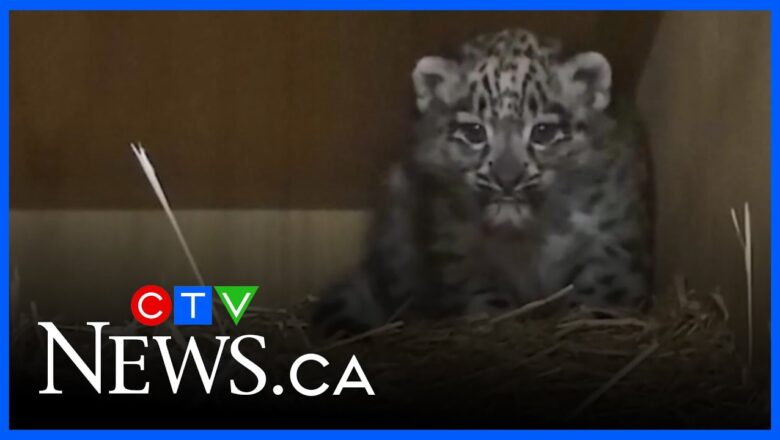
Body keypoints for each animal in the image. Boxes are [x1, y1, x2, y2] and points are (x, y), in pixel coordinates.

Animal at [311, 28, 652, 338]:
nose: (507, 178)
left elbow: (603, 287)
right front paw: (495, 321)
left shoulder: (608, 237)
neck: (526, 243)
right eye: (474, 131)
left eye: (542, 131)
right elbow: (481, 293)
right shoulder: (459, 248)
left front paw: (590, 316)